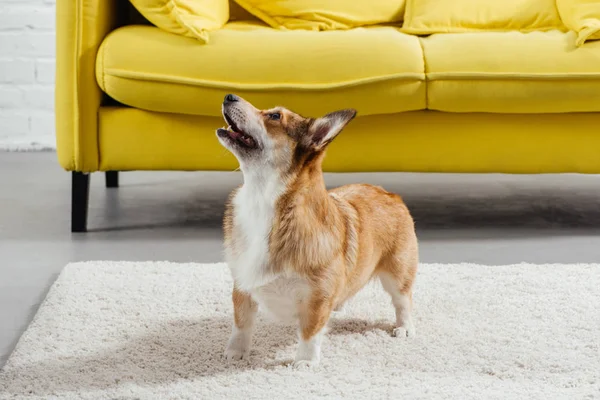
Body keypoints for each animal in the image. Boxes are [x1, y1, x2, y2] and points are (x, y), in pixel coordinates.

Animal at [216, 94, 418, 368]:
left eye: (275, 116)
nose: (229, 96)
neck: (262, 202)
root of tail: (391, 194)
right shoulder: (242, 285)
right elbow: (241, 322)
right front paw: (236, 352)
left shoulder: (317, 298)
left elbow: (310, 330)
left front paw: (305, 362)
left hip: (398, 273)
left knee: (403, 300)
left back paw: (404, 327)